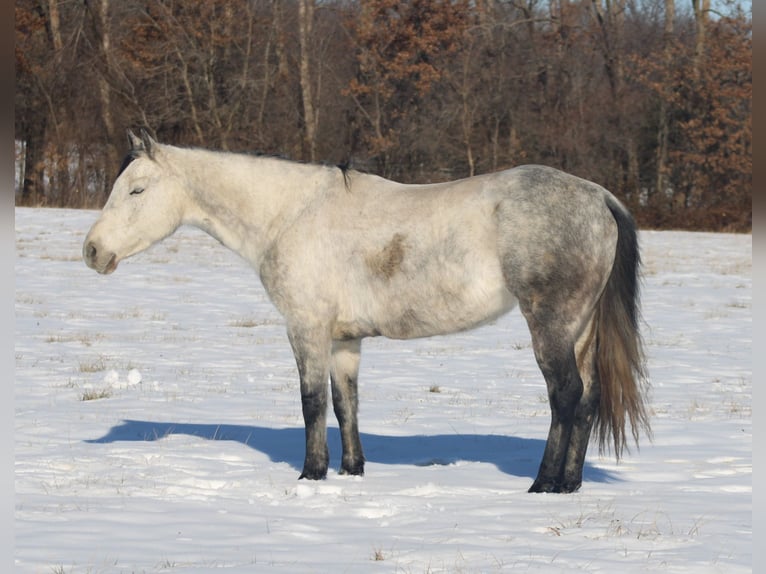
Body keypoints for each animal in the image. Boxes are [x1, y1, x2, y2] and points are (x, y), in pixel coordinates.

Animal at [84, 130, 652, 496]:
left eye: (136, 189)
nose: (92, 251)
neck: (291, 214)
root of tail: (598, 197)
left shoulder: (307, 329)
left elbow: (312, 403)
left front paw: (311, 475)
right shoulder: (344, 339)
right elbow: (345, 404)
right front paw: (352, 471)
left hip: (549, 326)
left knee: (565, 397)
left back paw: (544, 483)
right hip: (579, 330)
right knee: (586, 400)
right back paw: (570, 484)